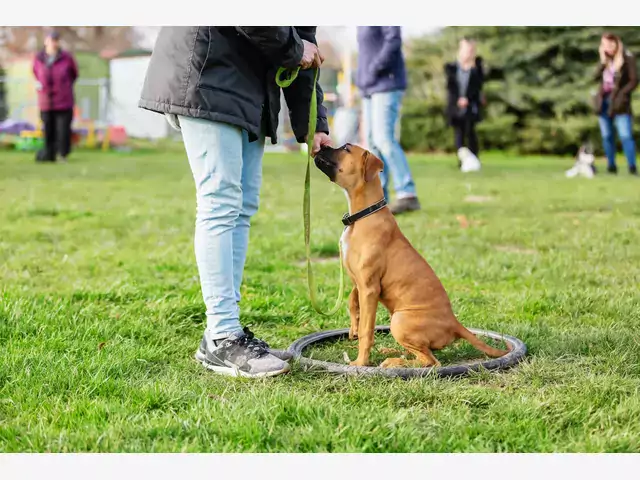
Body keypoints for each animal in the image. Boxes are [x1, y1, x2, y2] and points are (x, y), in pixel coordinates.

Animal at [312, 142, 508, 368]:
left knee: (430, 361)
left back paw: (393, 361)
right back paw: (393, 353)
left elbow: (366, 330)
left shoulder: (369, 288)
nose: (321, 145)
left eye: (345, 148)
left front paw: (360, 362)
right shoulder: (358, 281)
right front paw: (353, 327)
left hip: (400, 320)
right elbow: (352, 302)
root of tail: (455, 323)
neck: (364, 215)